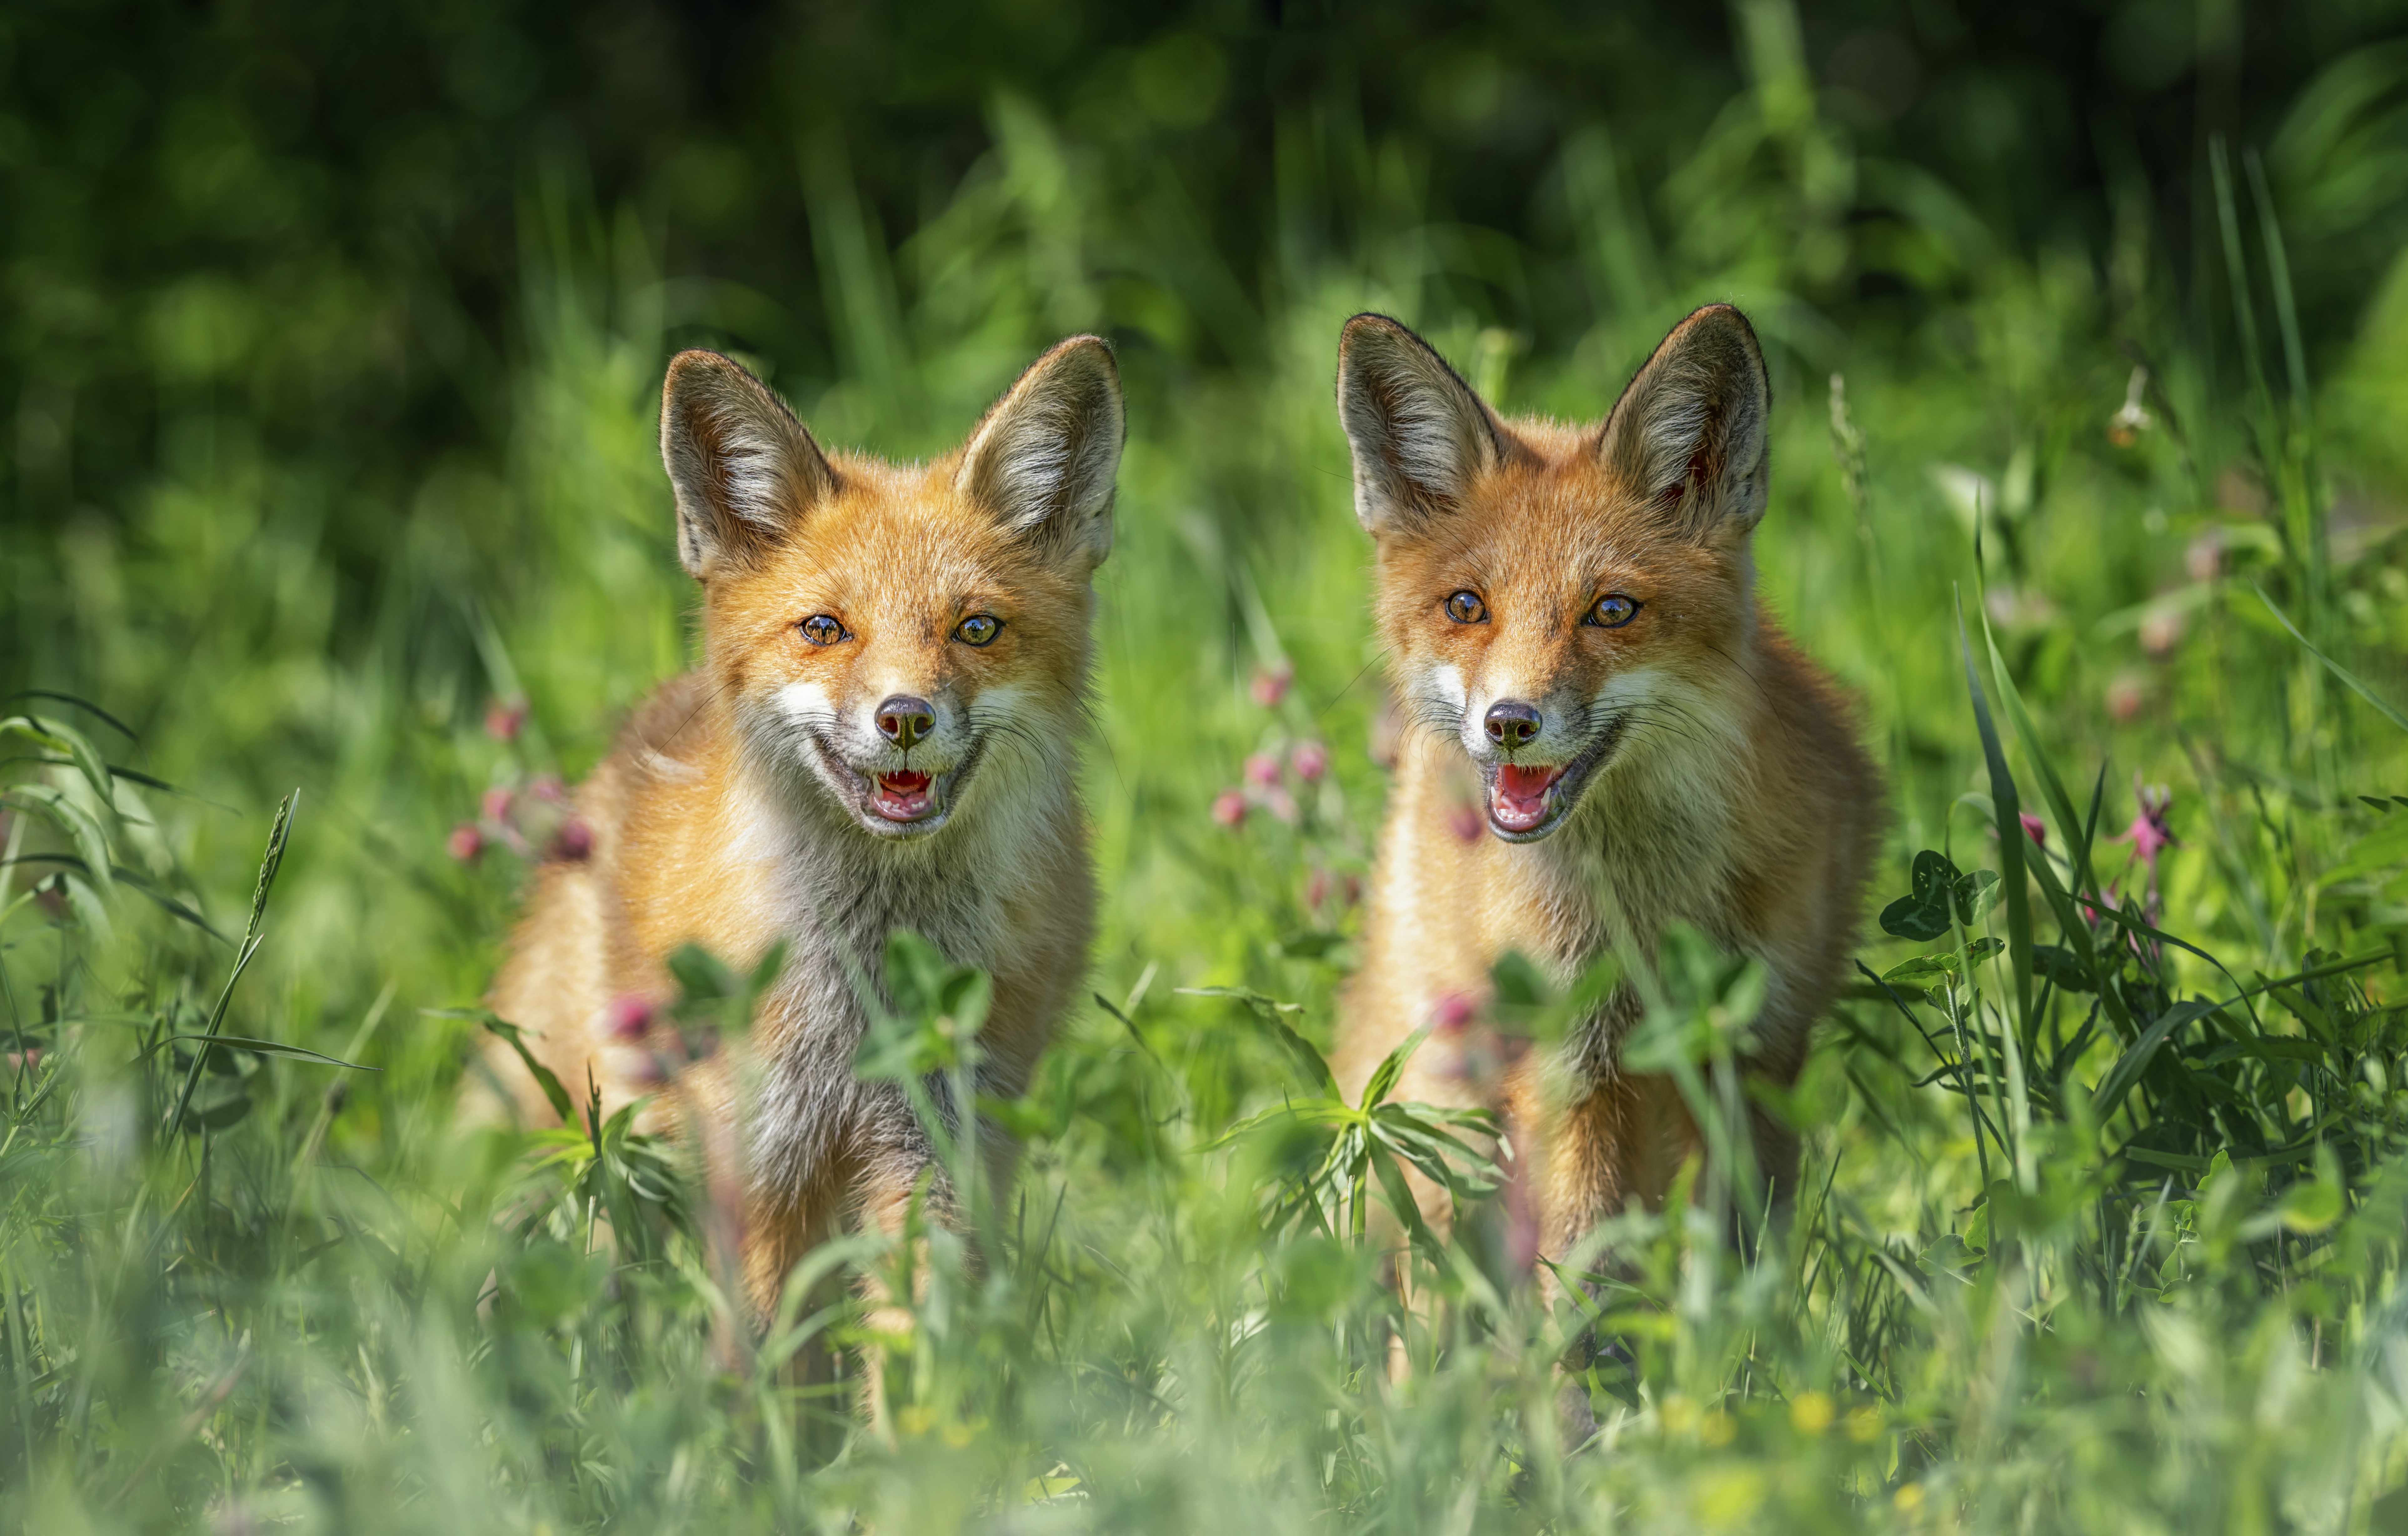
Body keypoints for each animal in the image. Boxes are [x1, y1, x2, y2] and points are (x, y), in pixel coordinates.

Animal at [470, 335, 1124, 1321]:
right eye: (825, 628)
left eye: (976, 628)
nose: (905, 717)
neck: (862, 989)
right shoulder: (762, 1162)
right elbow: (768, 1350)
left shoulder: (935, 1145)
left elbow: (917, 1337)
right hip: (602, 1142)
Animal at [1329, 305, 1879, 1296]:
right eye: (1466, 606)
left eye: (1611, 611)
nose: (1509, 722)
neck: (1648, 910)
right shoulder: (1570, 1066)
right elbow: (1584, 1270)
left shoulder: (1754, 1050)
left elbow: (1738, 1258)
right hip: (1446, 1126)